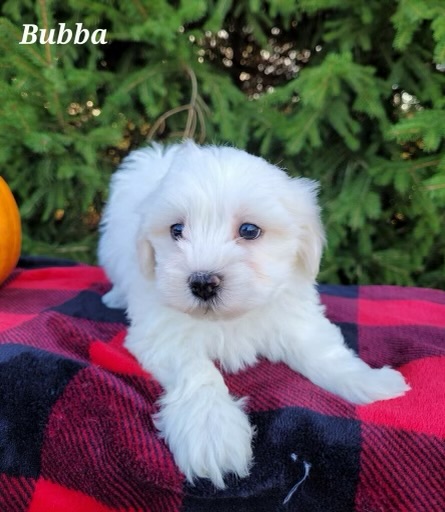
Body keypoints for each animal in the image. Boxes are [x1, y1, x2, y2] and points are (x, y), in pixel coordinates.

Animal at [98, 140, 410, 488]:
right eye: (176, 230)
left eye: (249, 230)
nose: (203, 282)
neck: (230, 318)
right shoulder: (163, 334)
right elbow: (198, 372)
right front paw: (212, 431)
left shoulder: (294, 318)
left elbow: (324, 352)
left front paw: (368, 380)